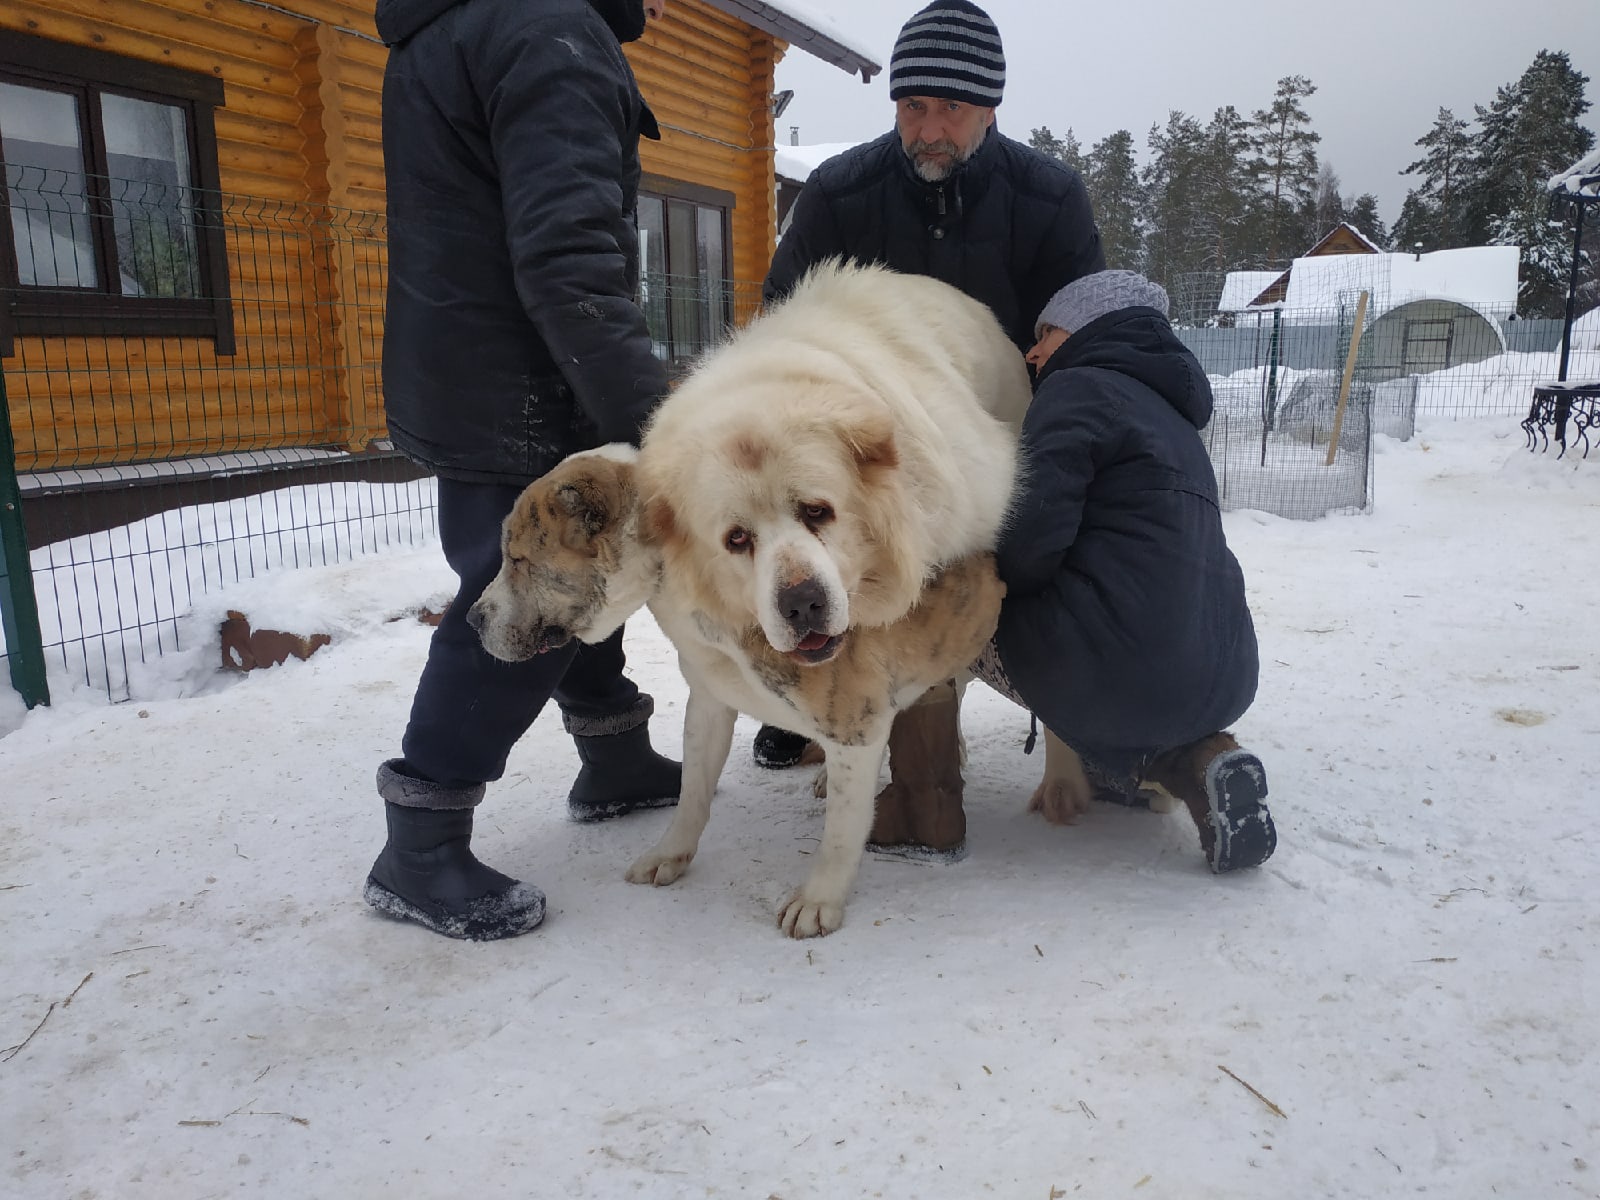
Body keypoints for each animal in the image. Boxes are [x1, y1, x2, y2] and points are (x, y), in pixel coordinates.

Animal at [472, 262, 1039, 936]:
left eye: (518, 560)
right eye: (735, 539)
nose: (473, 617)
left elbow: (844, 827)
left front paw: (821, 895)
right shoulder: (709, 700)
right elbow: (692, 794)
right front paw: (671, 853)